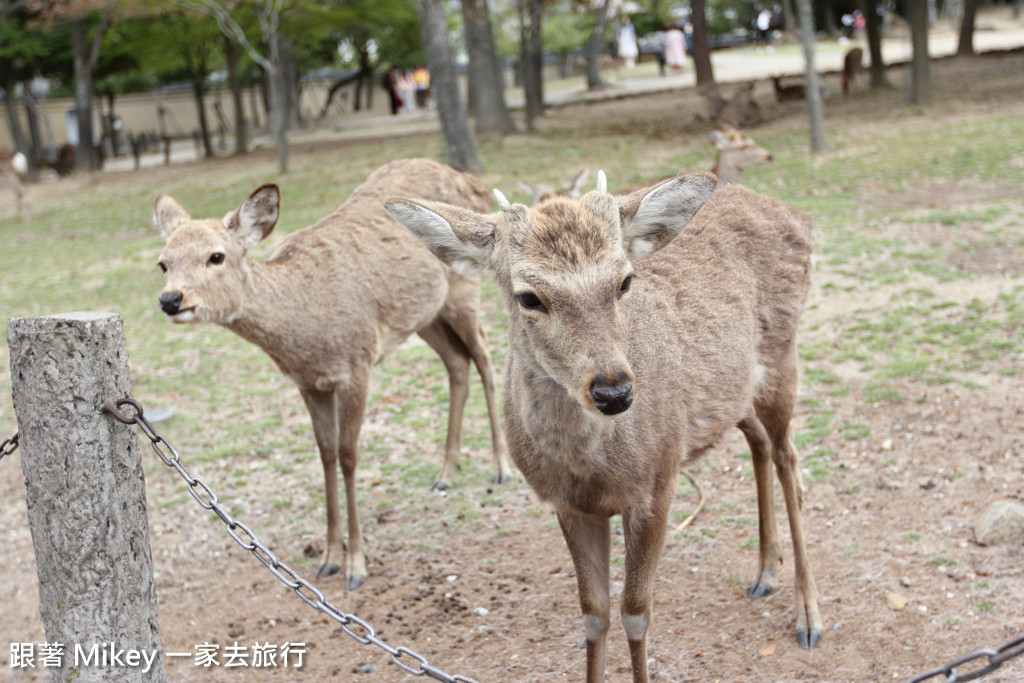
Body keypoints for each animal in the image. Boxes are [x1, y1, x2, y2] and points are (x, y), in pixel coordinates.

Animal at [152, 157, 512, 589]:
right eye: (163, 263)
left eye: (216, 256)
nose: (171, 299)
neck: (306, 332)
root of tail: (471, 181)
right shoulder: (309, 383)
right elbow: (324, 454)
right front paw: (327, 557)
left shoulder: (357, 364)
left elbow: (348, 456)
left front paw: (356, 564)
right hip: (425, 314)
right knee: (457, 362)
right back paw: (445, 473)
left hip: (464, 288)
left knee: (485, 358)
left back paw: (501, 469)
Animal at [385, 167, 823, 679]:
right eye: (528, 297)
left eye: (625, 280)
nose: (614, 391)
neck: (591, 468)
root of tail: (795, 215)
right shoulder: (569, 505)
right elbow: (594, 614)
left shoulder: (658, 484)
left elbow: (635, 612)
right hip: (733, 393)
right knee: (759, 443)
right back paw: (765, 572)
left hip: (782, 359)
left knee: (788, 458)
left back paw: (808, 615)